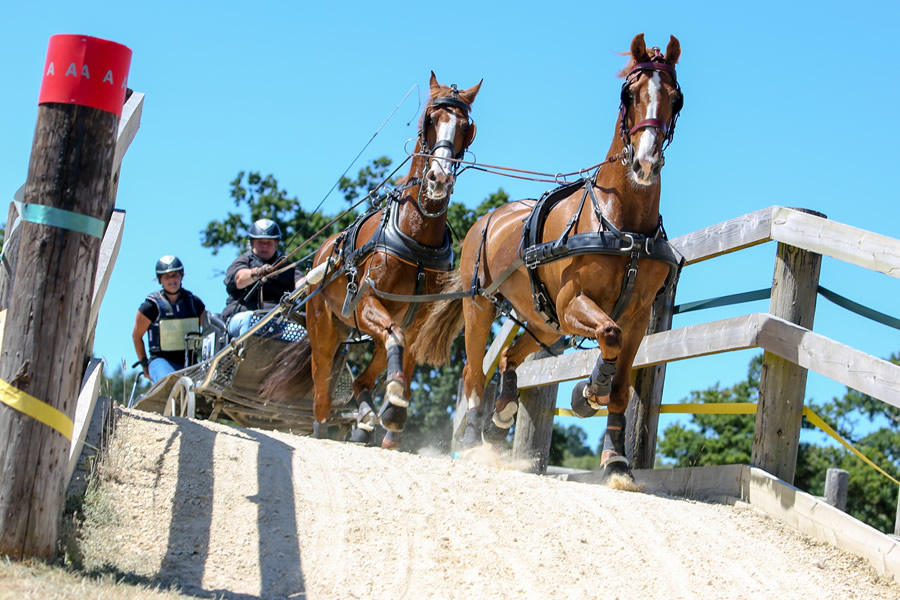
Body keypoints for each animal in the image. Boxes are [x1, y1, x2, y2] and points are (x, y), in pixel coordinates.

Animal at [264, 72, 482, 448]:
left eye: (466, 126)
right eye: (430, 119)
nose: (439, 178)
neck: (415, 235)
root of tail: (322, 256)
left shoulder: (417, 322)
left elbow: (403, 359)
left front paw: (392, 418)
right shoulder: (366, 300)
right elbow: (394, 337)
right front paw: (391, 404)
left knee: (361, 381)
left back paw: (365, 420)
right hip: (325, 334)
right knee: (321, 398)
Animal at [422, 35, 684, 478]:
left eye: (676, 98)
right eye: (629, 95)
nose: (645, 162)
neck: (621, 223)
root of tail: (488, 218)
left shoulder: (637, 317)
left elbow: (622, 385)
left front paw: (615, 459)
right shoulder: (573, 302)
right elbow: (608, 337)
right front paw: (590, 388)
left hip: (545, 321)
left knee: (510, 358)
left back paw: (504, 409)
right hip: (483, 306)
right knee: (474, 372)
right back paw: (473, 439)